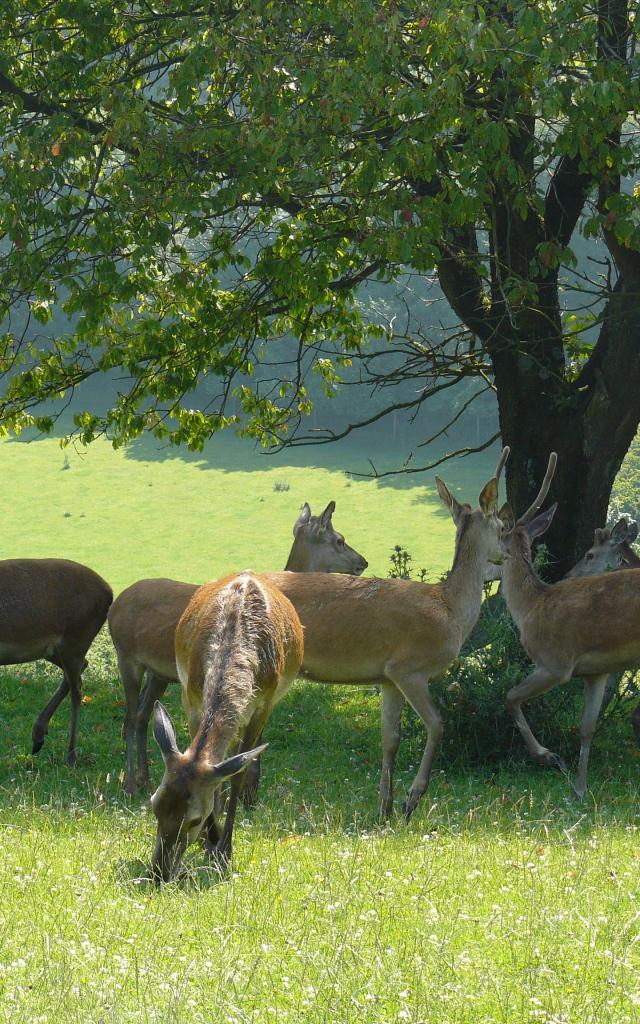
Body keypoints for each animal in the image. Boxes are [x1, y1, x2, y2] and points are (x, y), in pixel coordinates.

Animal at [0, 561, 112, 770]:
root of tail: (109, 592)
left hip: (76, 637)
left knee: (77, 690)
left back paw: (71, 756)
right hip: (55, 650)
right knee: (80, 670)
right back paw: (38, 737)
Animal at [107, 499, 362, 794]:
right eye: (340, 539)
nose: (363, 562)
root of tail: (114, 606)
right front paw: (251, 787)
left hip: (157, 672)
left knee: (141, 716)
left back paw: (145, 778)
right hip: (126, 656)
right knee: (129, 719)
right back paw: (130, 783)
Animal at [148, 573, 303, 884]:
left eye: (193, 818)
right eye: (154, 803)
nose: (159, 872)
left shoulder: (264, 704)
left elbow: (237, 772)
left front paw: (224, 848)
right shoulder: (190, 696)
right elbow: (212, 764)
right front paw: (211, 839)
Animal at [262, 452, 512, 819]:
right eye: (502, 528)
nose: (506, 556)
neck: (450, 612)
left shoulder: (387, 679)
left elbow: (390, 738)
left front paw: (385, 807)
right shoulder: (408, 668)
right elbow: (438, 724)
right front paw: (412, 798)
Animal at [499, 454, 638, 798]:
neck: (530, 608)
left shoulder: (555, 662)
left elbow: (510, 696)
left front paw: (548, 756)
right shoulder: (596, 671)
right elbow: (586, 726)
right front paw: (579, 790)